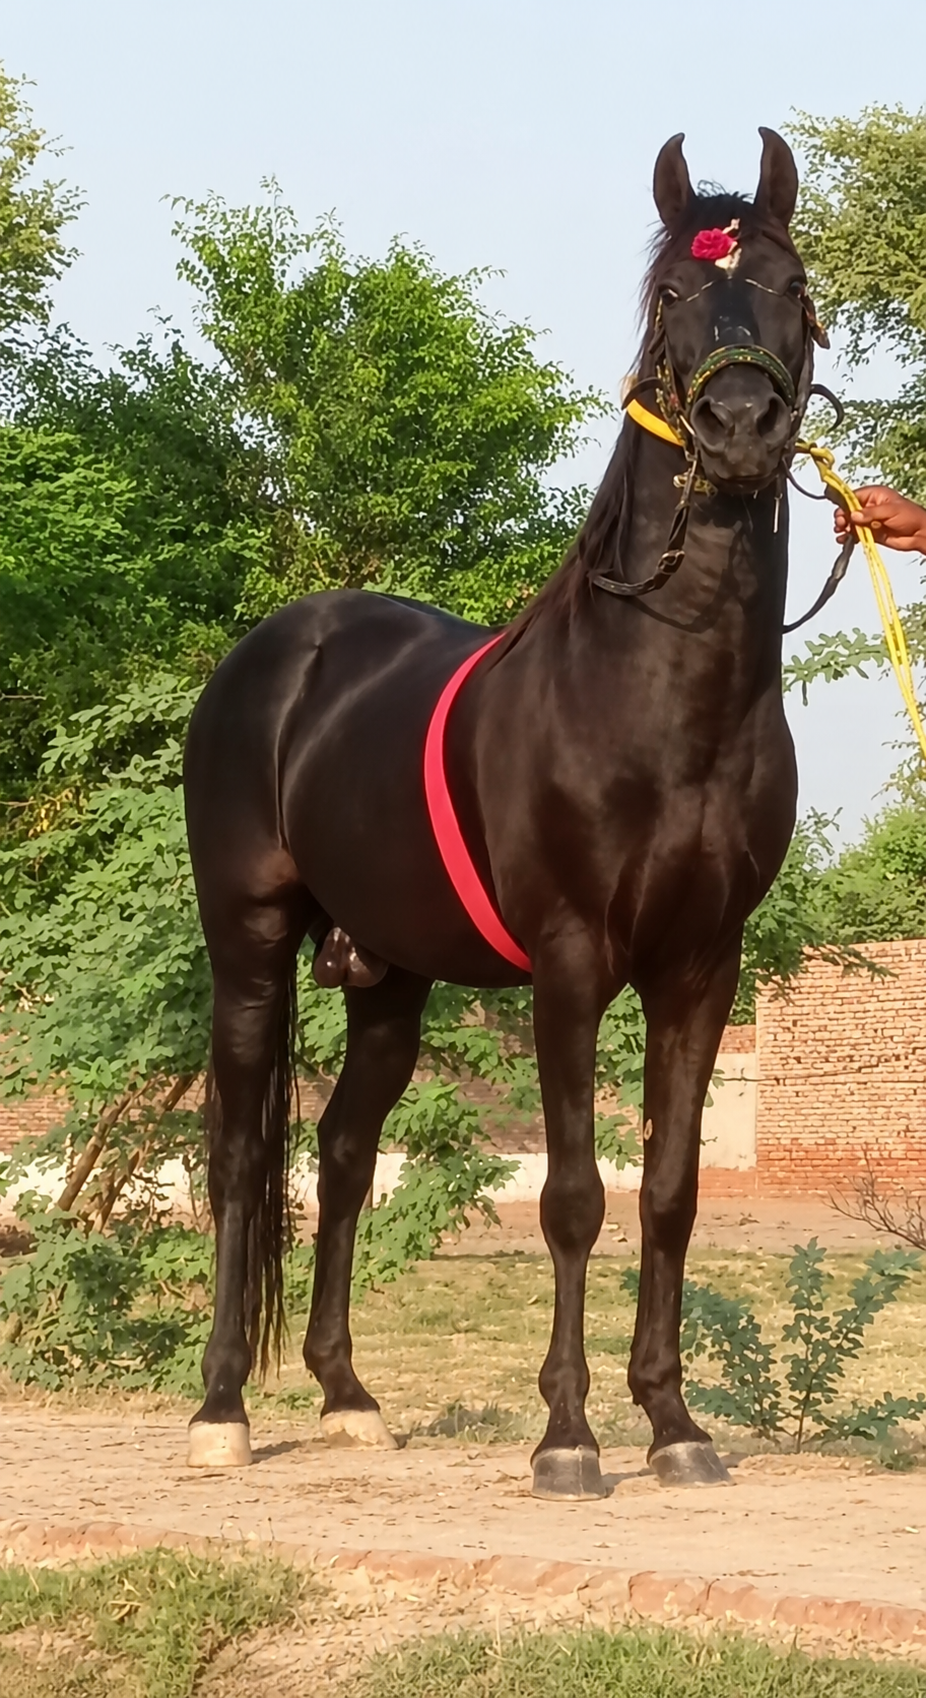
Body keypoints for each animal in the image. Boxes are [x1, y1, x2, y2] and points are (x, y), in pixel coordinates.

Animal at [183, 127, 824, 1498]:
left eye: (791, 290)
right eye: (671, 295)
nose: (739, 429)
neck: (658, 700)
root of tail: (279, 650)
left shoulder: (702, 966)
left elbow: (669, 1190)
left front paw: (673, 1426)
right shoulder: (571, 963)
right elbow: (574, 1193)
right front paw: (568, 1438)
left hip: (386, 978)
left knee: (342, 1154)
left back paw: (346, 1397)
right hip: (249, 946)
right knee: (243, 1155)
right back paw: (220, 1410)